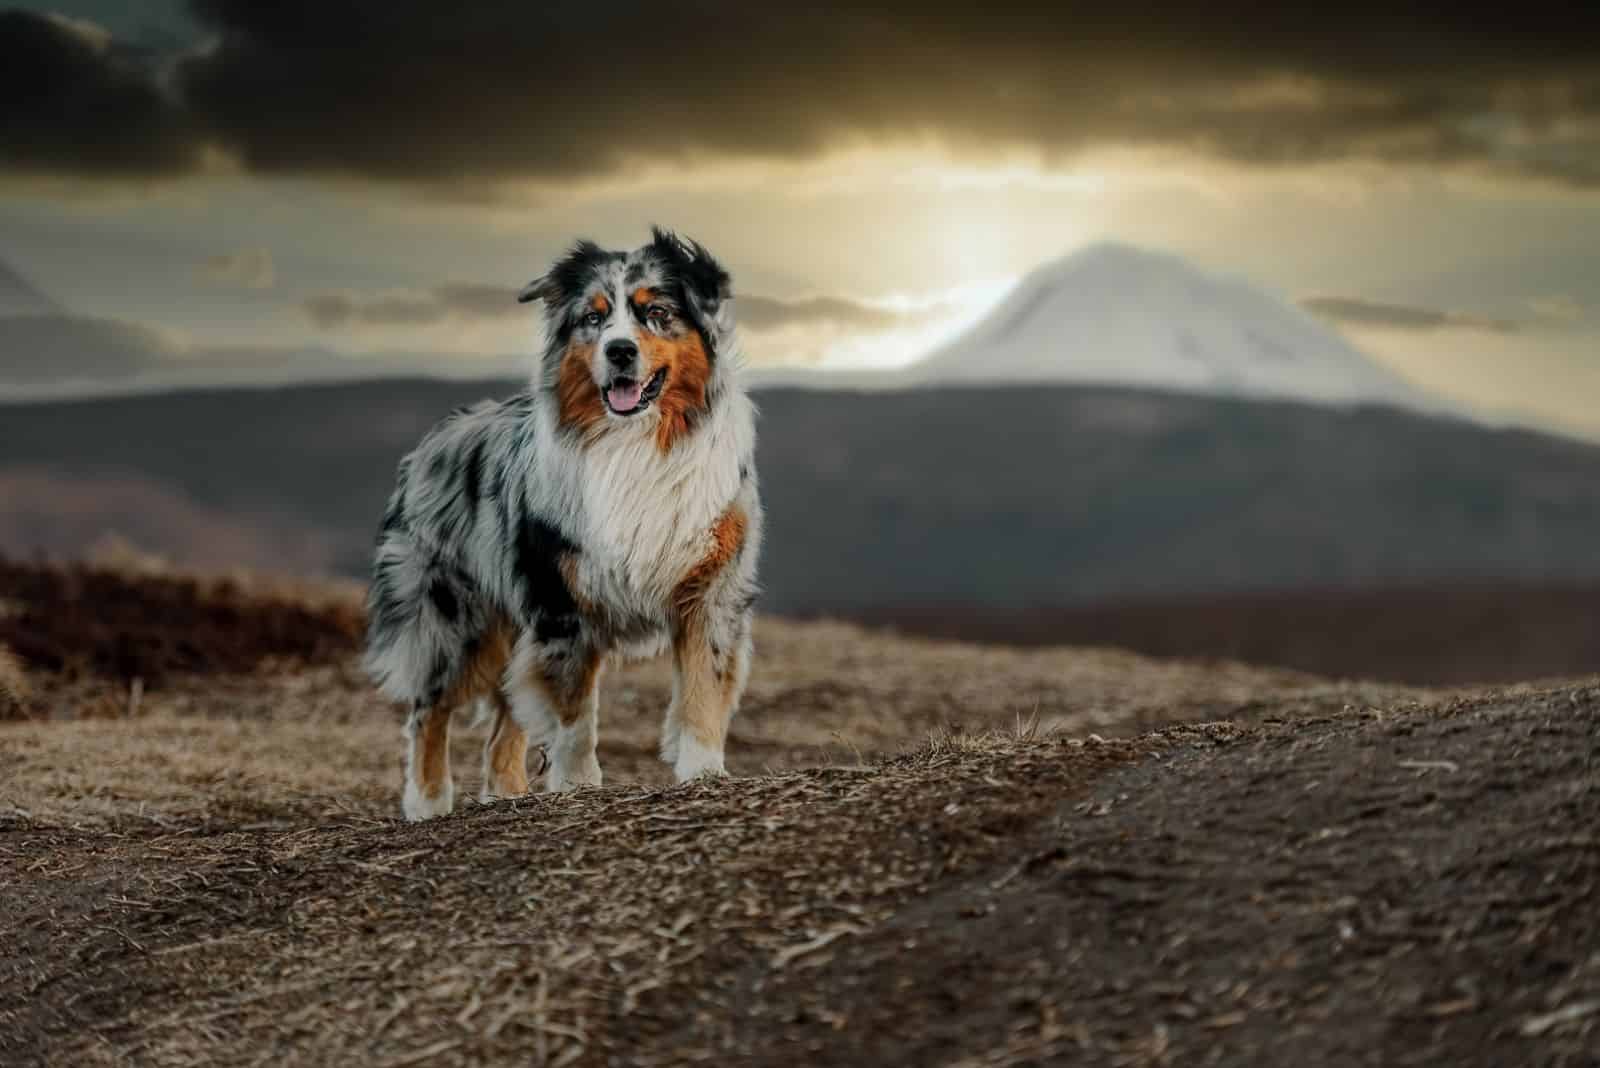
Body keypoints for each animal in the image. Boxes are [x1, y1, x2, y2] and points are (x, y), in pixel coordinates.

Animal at [364, 230, 761, 824]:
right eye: (593, 319)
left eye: (656, 312)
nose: (619, 351)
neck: (634, 444)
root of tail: (434, 439)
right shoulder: (563, 601)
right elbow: (574, 711)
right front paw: (577, 785)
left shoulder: (709, 588)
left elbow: (702, 689)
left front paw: (703, 771)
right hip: (457, 617)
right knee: (428, 709)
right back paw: (429, 803)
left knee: (504, 727)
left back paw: (507, 796)